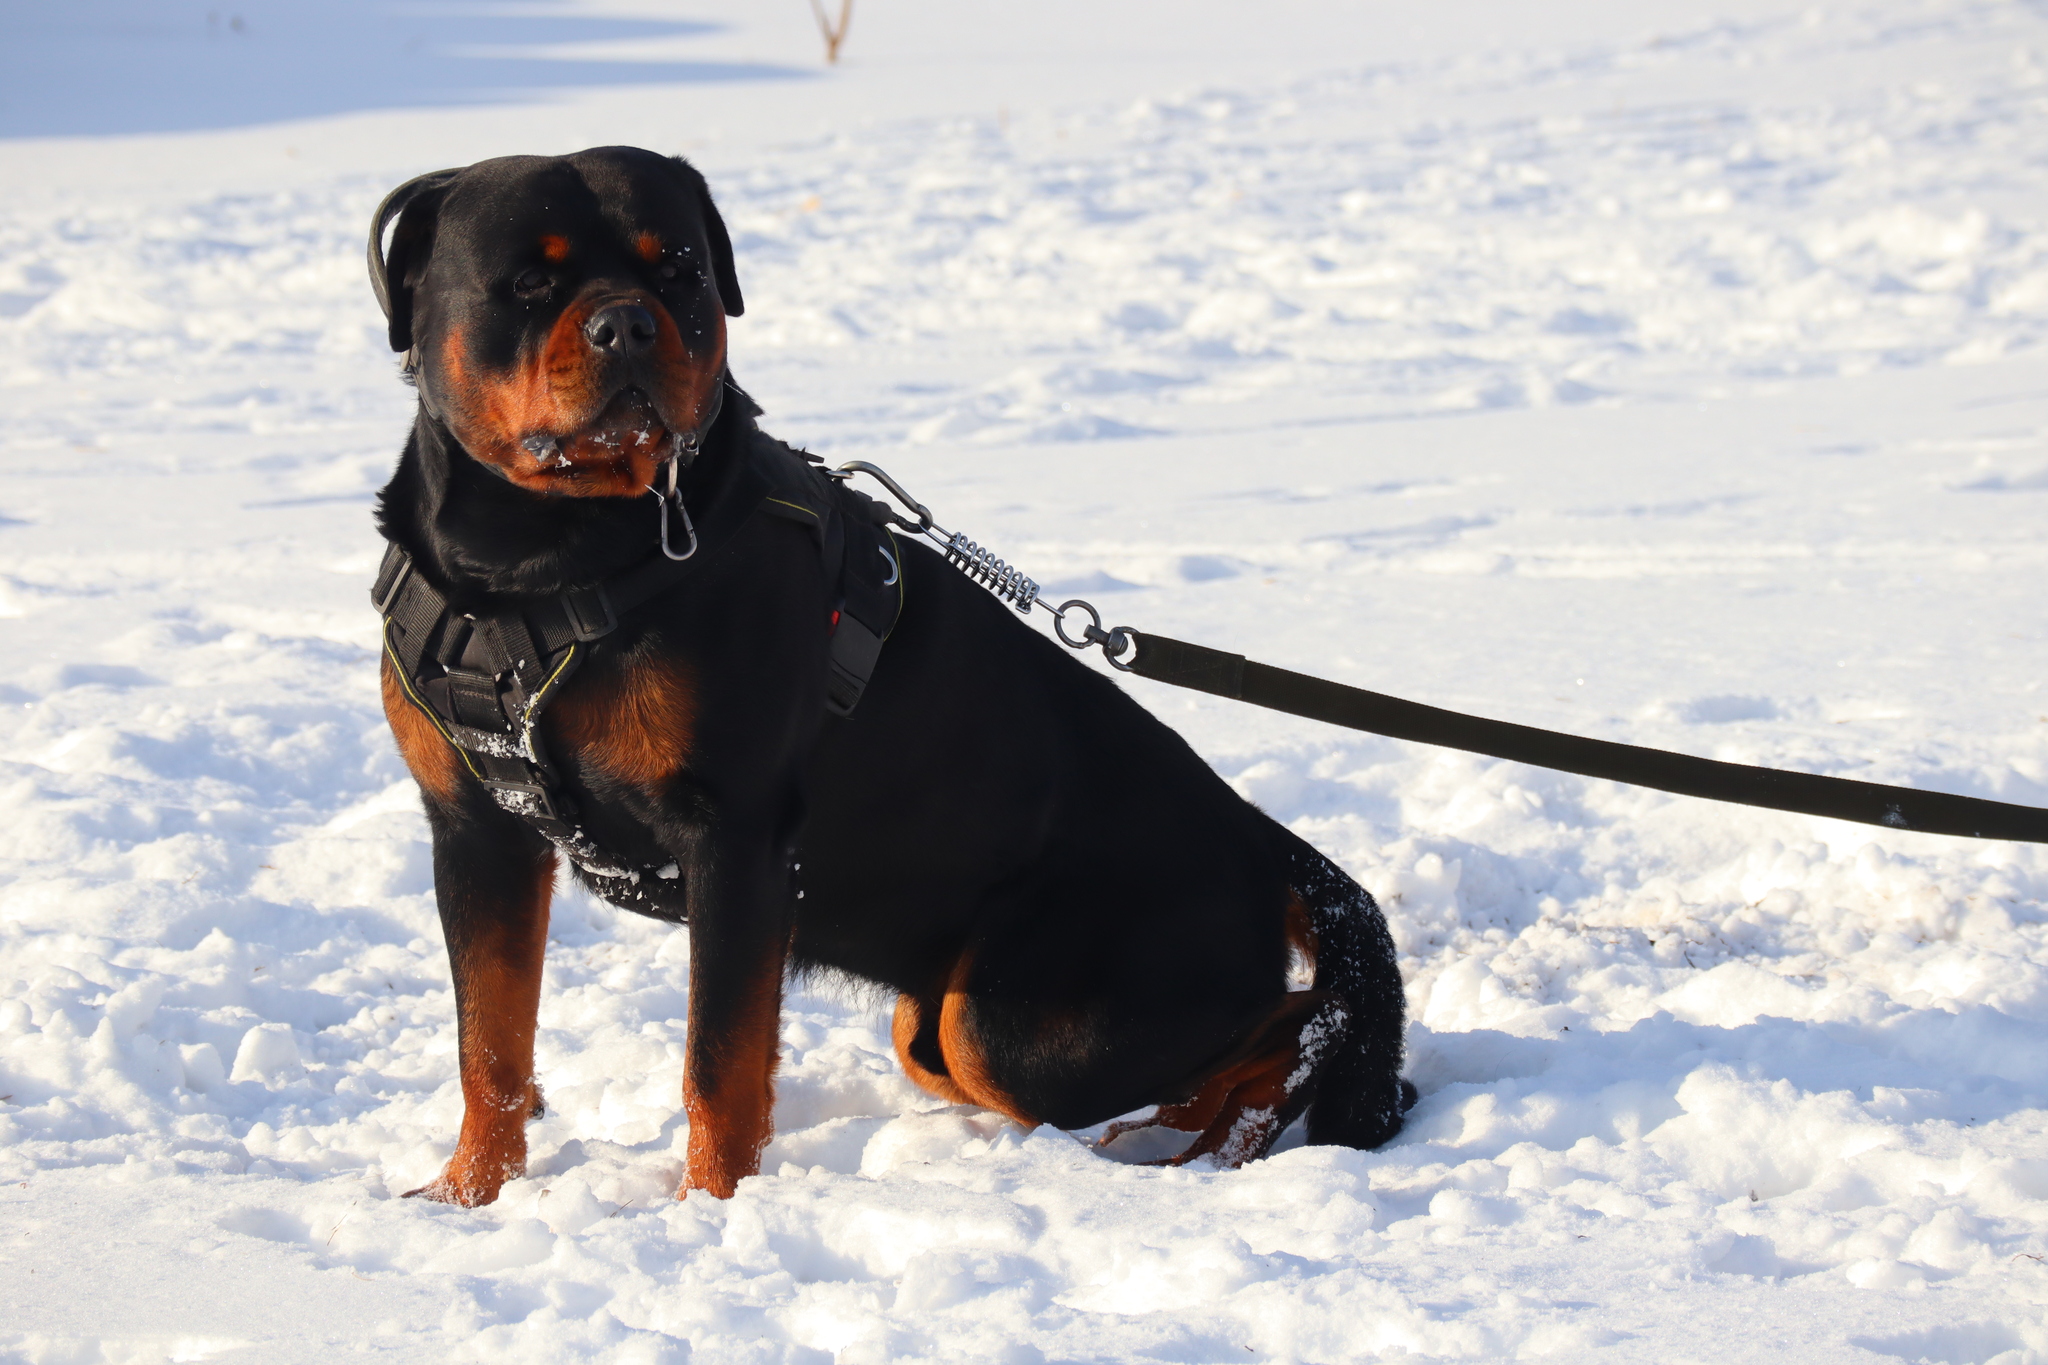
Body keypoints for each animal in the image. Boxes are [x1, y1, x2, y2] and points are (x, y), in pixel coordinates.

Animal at [368, 147, 1417, 1203]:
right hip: (948, 1019)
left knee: (1306, 1018)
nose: (626, 321)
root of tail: (1262, 839)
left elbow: (716, 1063)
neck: (541, 565)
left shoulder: (735, 838)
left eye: (683, 270)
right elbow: (489, 1044)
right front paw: (467, 1195)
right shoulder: (476, 831)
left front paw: (710, 1208)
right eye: (528, 283)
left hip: (1021, 1015)